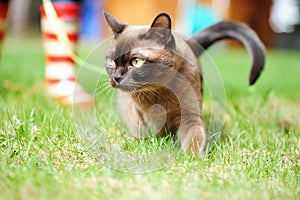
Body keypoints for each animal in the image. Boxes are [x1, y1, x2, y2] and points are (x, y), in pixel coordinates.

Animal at [103, 11, 264, 155]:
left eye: (136, 61)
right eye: (111, 61)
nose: (117, 77)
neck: (157, 93)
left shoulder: (190, 117)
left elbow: (194, 142)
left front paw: (192, 161)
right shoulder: (138, 115)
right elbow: (141, 134)